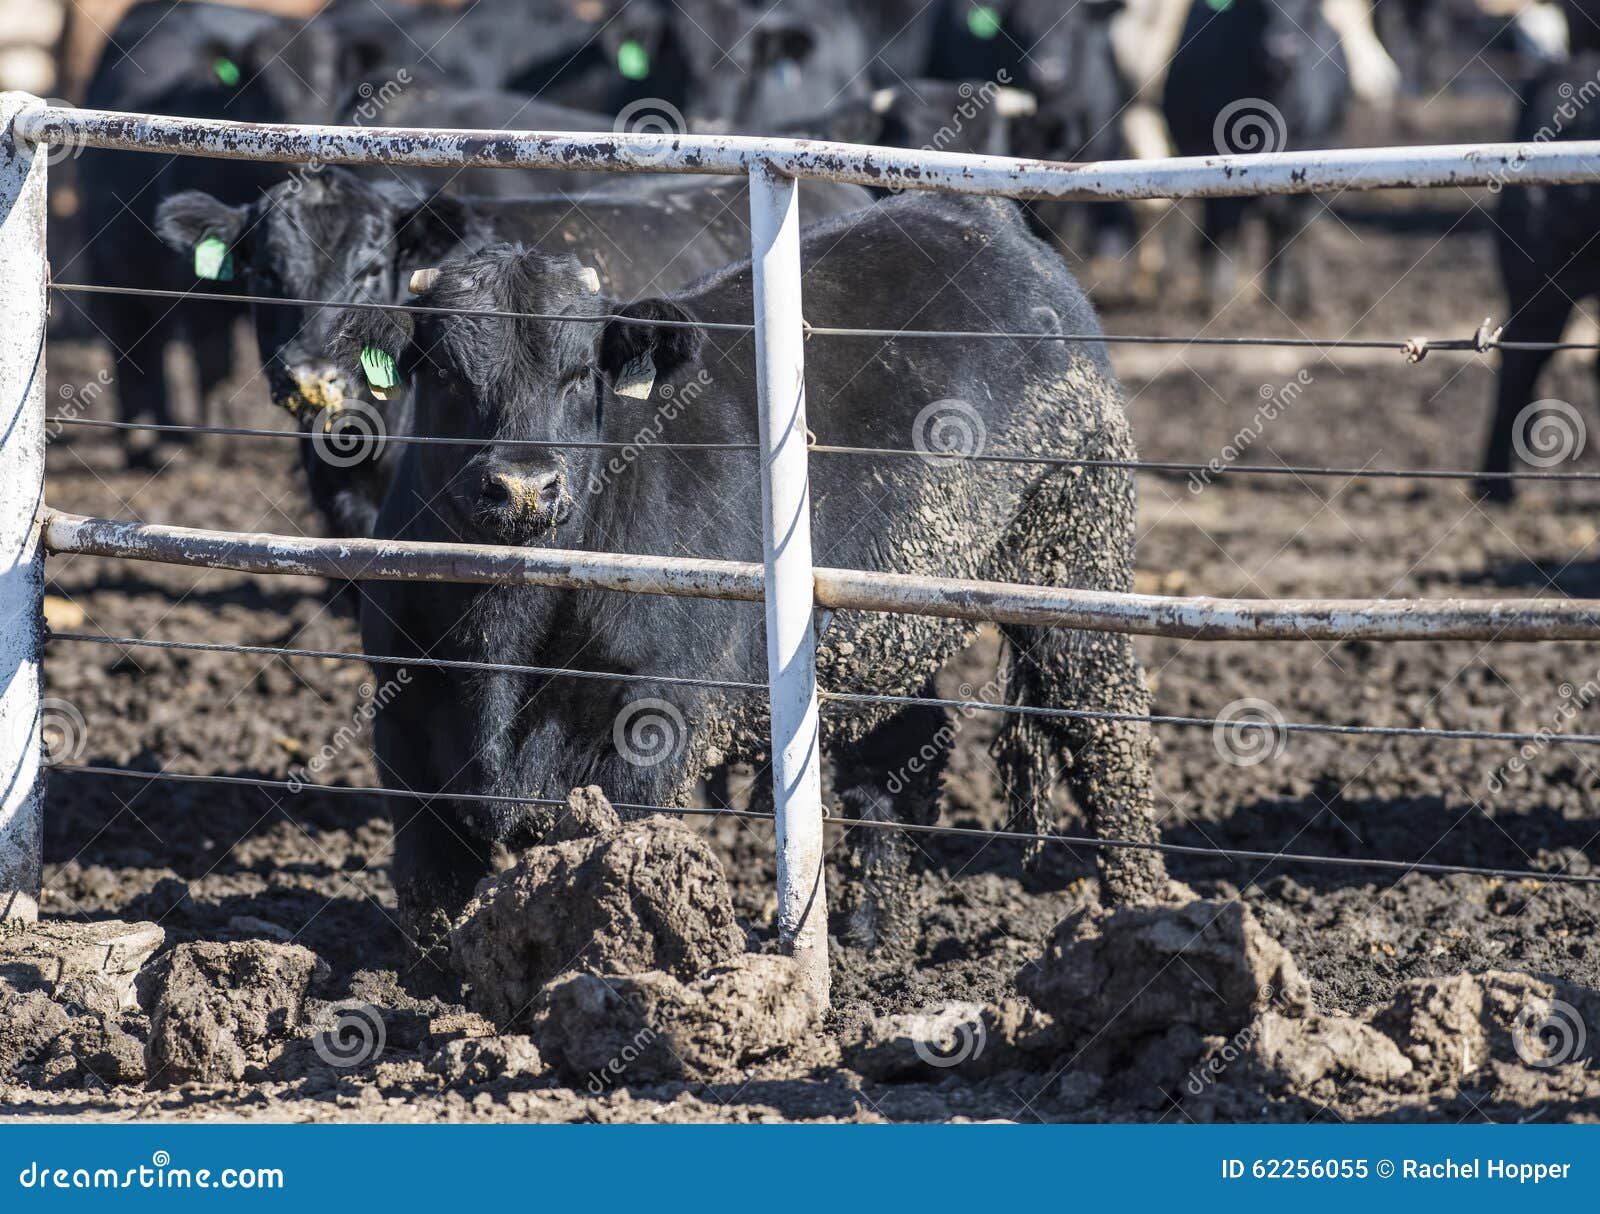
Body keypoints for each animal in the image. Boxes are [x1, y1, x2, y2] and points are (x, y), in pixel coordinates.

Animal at [323, 192, 1176, 958]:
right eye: (444, 370)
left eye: (582, 372)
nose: (525, 485)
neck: (504, 634)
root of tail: (981, 216)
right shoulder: (404, 721)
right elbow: (431, 888)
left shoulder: (648, 730)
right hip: (883, 620)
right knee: (902, 750)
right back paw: (878, 939)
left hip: (1072, 545)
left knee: (1103, 722)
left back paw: (1140, 910)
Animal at [1162, 0, 1350, 312]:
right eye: (1256, 5)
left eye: (1311, 5)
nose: (1283, 50)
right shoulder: (1206, 150)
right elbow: (1226, 217)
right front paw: (1219, 294)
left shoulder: (1317, 146)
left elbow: (1298, 223)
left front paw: (1305, 297)